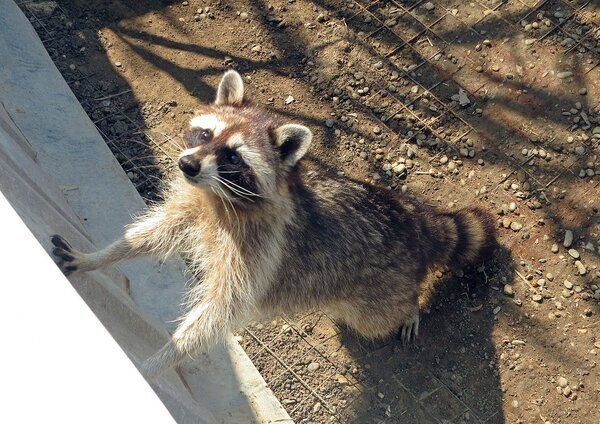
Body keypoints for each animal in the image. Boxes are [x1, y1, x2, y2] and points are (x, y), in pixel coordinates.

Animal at [51, 71, 494, 380]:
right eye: (205, 133)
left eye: (233, 157)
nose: (187, 164)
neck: (221, 198)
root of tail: (412, 219)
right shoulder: (194, 205)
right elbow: (152, 235)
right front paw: (99, 256)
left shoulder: (258, 252)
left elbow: (218, 313)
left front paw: (161, 359)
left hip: (381, 290)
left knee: (378, 318)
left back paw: (410, 308)